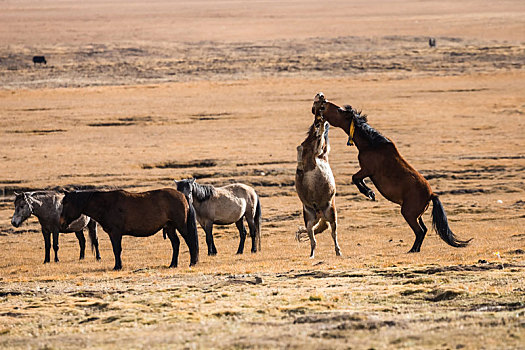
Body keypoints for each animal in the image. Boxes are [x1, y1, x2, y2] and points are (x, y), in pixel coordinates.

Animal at [59, 189, 199, 270]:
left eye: (65, 203)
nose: (61, 222)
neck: (106, 205)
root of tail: (183, 196)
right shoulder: (112, 234)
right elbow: (116, 250)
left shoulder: (116, 233)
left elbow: (117, 249)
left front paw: (118, 266)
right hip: (170, 227)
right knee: (176, 243)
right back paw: (173, 264)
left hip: (181, 226)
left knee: (190, 242)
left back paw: (192, 262)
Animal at [294, 117, 340, 258]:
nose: (318, 122)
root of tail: (320, 213)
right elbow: (300, 147)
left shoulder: (318, 151)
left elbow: (318, 141)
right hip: (310, 221)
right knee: (313, 239)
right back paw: (311, 255)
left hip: (331, 217)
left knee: (333, 234)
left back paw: (338, 251)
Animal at [312, 92, 470, 252]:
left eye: (339, 110)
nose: (323, 101)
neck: (371, 145)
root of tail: (431, 194)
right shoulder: (366, 171)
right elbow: (357, 179)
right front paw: (370, 193)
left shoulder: (367, 170)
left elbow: (355, 178)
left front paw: (370, 193)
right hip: (417, 215)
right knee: (424, 230)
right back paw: (416, 249)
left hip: (409, 213)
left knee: (419, 231)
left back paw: (412, 250)